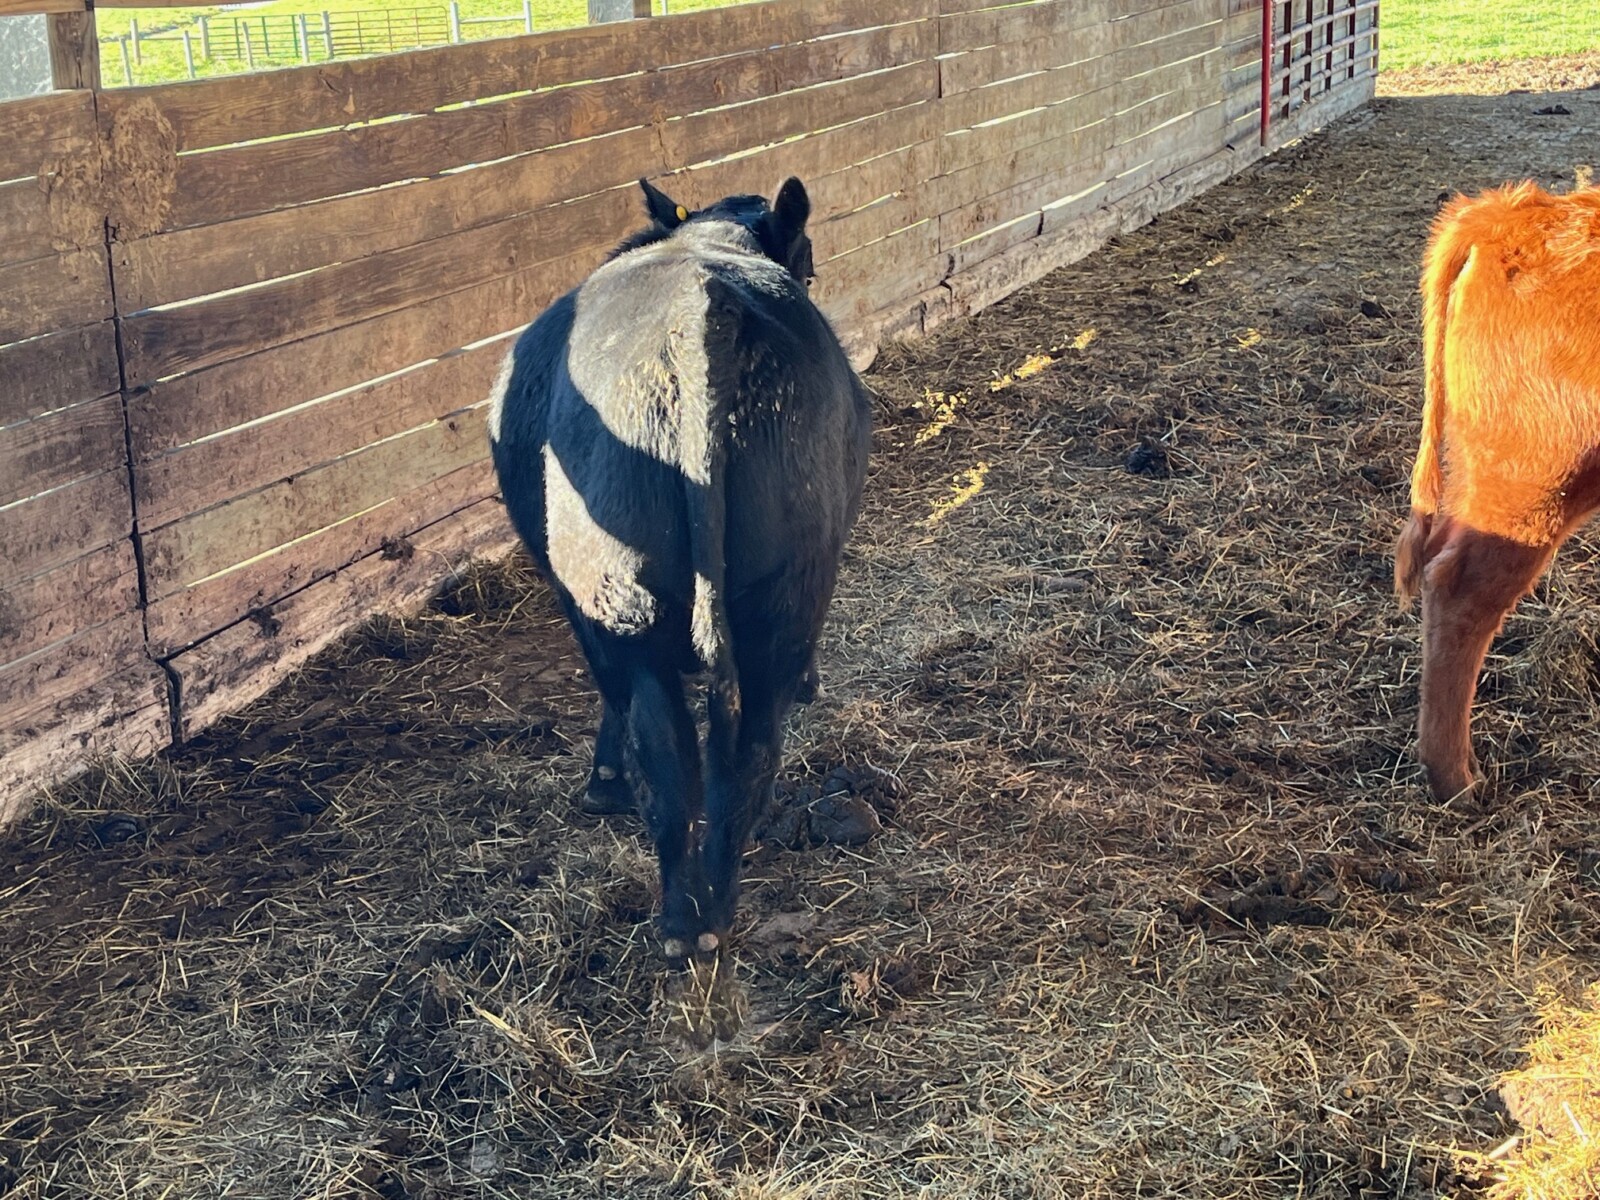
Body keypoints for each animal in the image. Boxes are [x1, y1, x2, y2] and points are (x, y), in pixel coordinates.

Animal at [488, 176, 872, 963]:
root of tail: (701, 307)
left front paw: (601, 781)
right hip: (784, 596)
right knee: (742, 752)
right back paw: (708, 909)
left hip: (619, 606)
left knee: (671, 758)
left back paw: (685, 920)